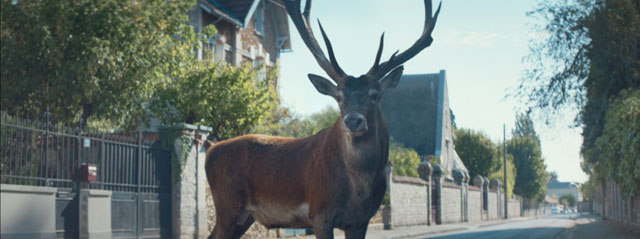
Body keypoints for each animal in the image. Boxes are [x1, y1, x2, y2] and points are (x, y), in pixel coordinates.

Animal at [205, 0, 440, 238]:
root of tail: (210, 151)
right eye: (339, 96)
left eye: (374, 95)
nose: (353, 121)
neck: (359, 192)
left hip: (245, 216)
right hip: (227, 205)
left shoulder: (361, 220)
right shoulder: (320, 212)